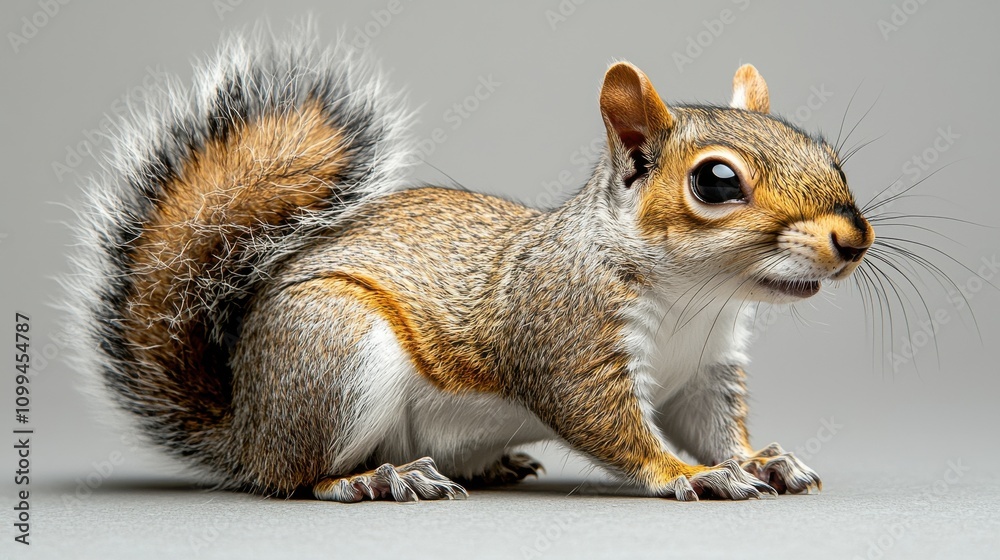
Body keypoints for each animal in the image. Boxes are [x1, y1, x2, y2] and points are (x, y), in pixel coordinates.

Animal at [65, 25, 873, 502]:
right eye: (716, 182)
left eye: (828, 155)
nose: (853, 239)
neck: (693, 300)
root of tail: (246, 431)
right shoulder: (567, 341)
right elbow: (615, 428)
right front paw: (693, 476)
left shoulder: (705, 371)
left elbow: (710, 424)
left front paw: (760, 460)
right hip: (330, 353)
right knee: (300, 478)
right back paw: (376, 480)